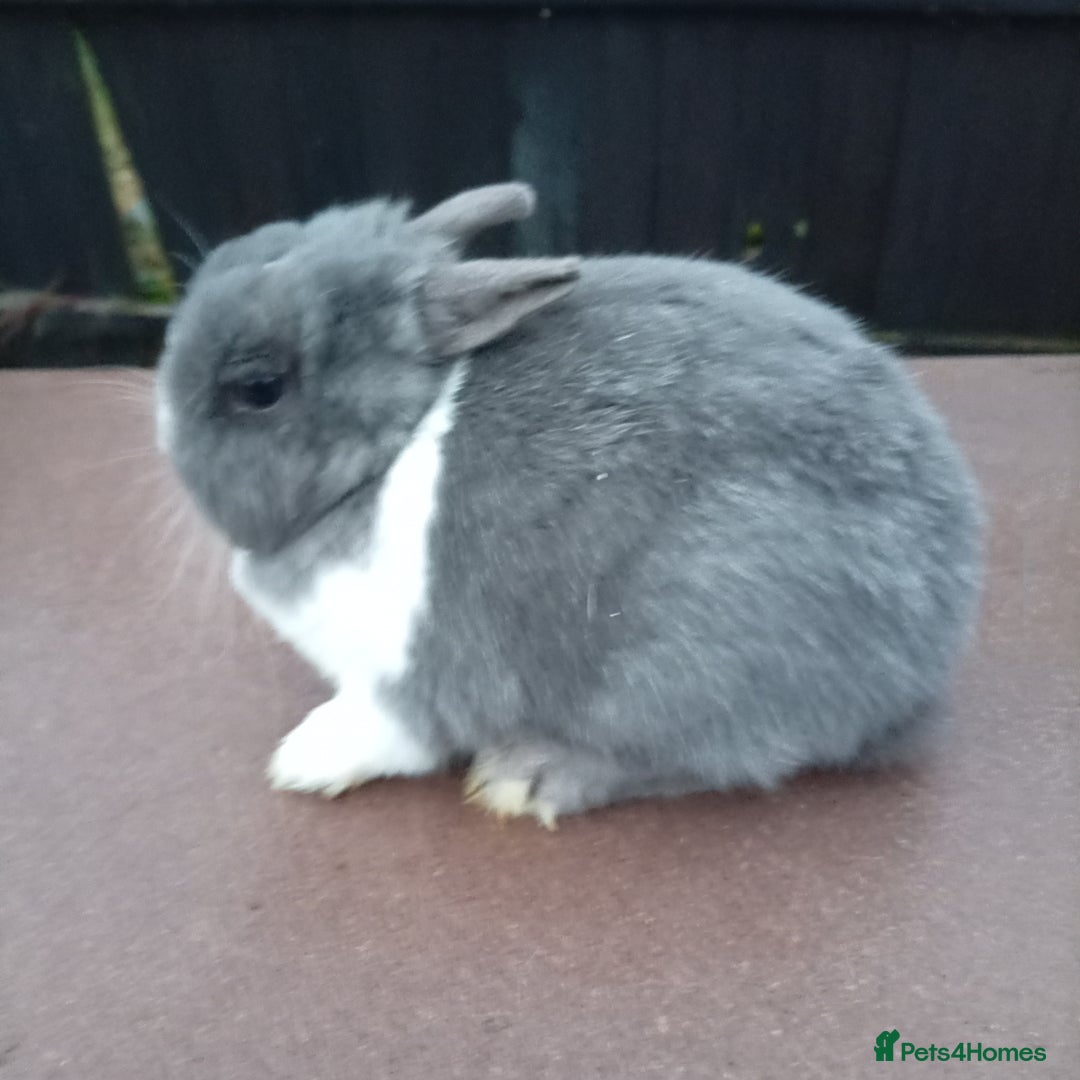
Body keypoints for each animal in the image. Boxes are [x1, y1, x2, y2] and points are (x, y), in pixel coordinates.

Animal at [156, 181, 983, 827]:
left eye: (259, 388)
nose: (160, 426)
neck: (395, 445)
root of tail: (929, 647)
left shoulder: (419, 673)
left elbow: (387, 729)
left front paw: (302, 758)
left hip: (686, 662)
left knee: (715, 757)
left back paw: (529, 776)